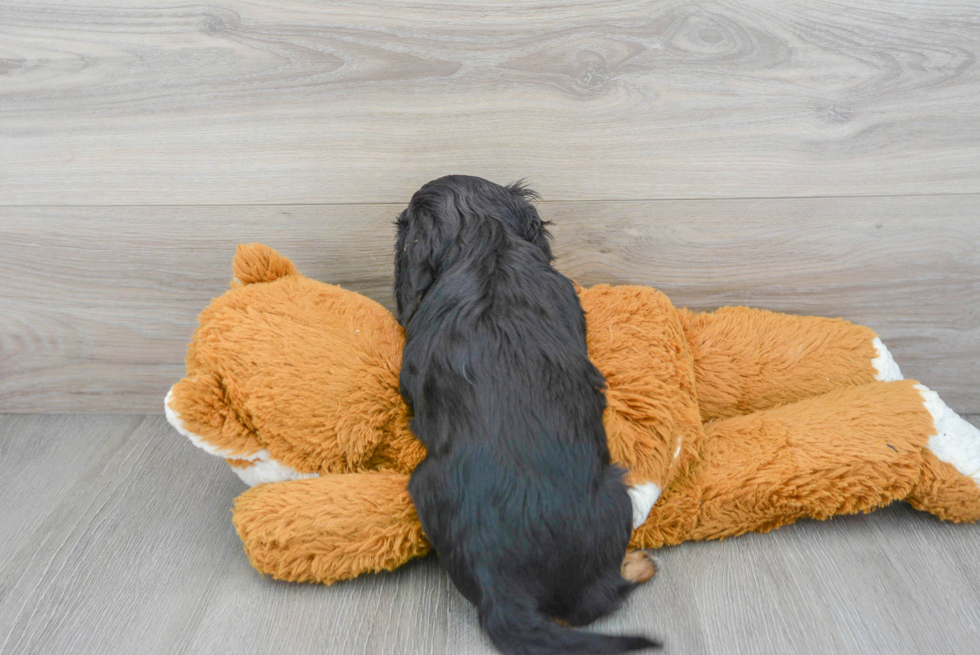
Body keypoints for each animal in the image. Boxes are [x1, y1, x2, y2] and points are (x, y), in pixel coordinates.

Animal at [392, 176, 660, 655]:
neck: (484, 241)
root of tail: (501, 588)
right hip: (615, 495)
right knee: (595, 602)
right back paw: (637, 564)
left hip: (422, 486)